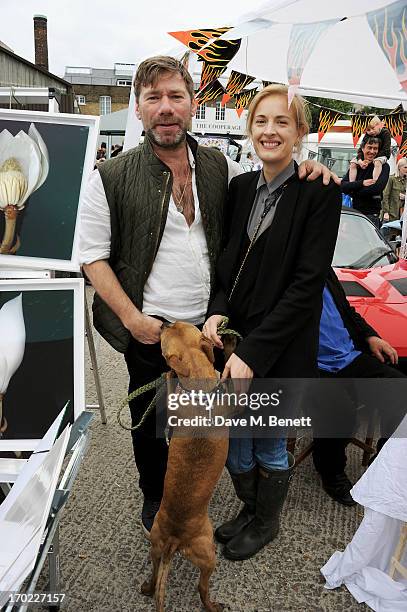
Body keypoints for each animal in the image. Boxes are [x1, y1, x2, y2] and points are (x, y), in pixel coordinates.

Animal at [141, 322, 230, 608]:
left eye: (181, 327)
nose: (163, 323)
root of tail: (174, 539)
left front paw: (169, 374)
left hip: (156, 546)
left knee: (154, 573)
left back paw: (147, 588)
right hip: (208, 554)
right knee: (202, 589)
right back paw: (213, 606)